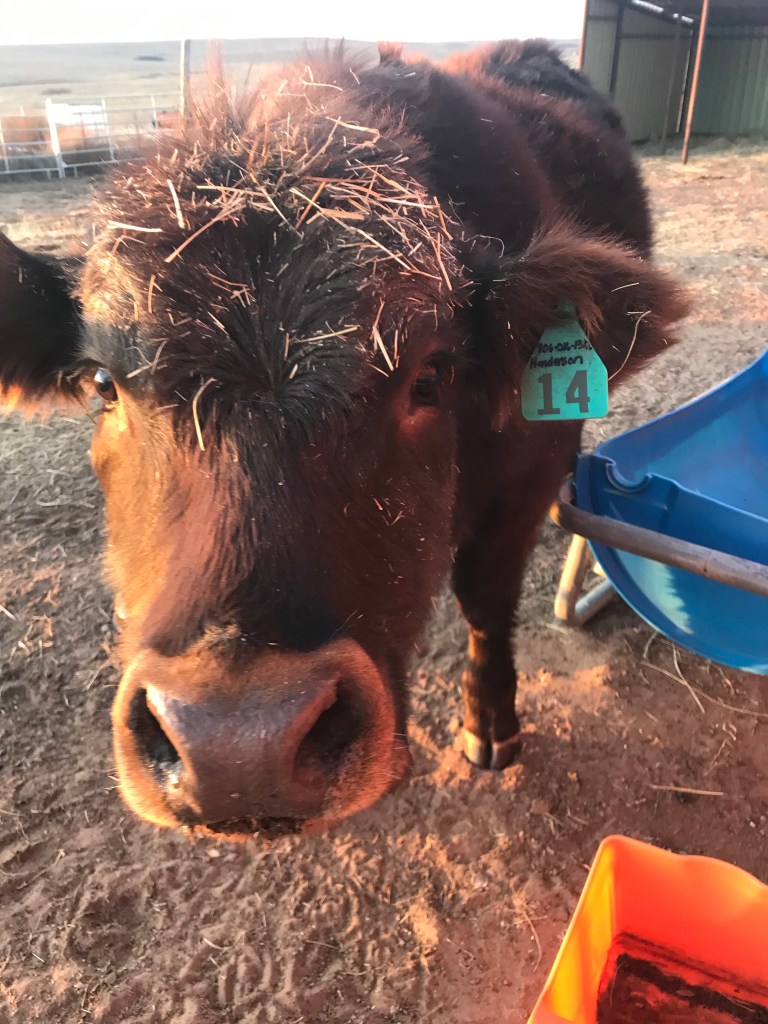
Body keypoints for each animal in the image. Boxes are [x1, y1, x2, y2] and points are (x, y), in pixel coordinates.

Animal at [0, 41, 688, 840]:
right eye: (104, 383)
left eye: (429, 377)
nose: (238, 750)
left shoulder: (522, 479)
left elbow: (485, 599)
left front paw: (490, 727)